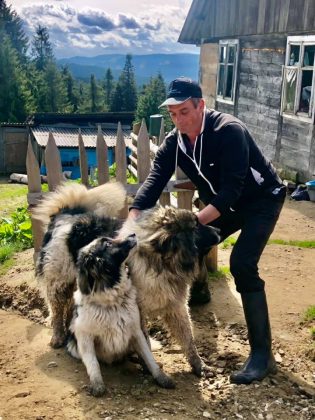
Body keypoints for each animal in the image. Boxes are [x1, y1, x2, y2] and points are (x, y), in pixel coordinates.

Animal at [67, 235, 175, 396]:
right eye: (107, 243)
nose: (133, 234)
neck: (112, 302)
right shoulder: (84, 336)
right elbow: (93, 363)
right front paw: (97, 384)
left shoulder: (136, 331)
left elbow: (149, 357)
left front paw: (161, 377)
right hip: (73, 346)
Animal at [119, 205, 221, 376]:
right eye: (196, 226)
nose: (219, 230)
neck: (164, 264)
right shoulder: (137, 313)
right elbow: (144, 341)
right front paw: (148, 366)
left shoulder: (177, 307)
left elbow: (188, 340)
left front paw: (199, 365)